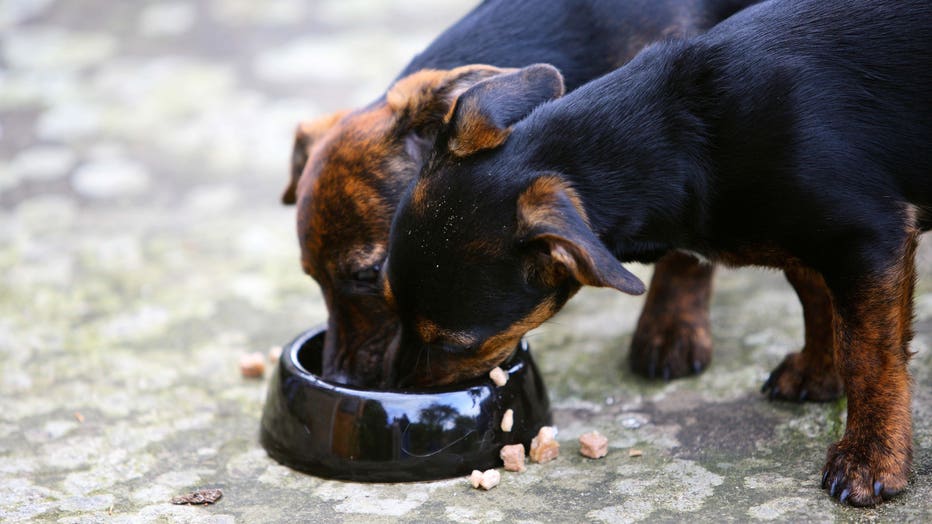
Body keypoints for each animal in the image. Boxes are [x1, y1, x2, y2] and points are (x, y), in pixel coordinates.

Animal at [386, 1, 932, 508]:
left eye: (454, 343)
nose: (398, 386)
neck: (689, 138)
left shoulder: (869, 236)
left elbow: (867, 354)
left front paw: (871, 461)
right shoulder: (806, 240)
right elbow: (817, 298)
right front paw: (819, 373)